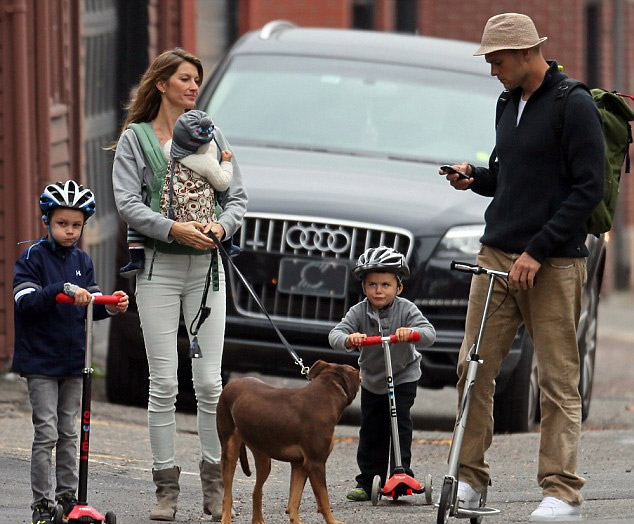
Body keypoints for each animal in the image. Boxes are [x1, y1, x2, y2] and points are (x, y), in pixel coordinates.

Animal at [215, 360, 358, 524]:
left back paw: (258, 520)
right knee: (227, 494)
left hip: (263, 457)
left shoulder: (299, 464)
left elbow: (294, 502)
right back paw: (226, 518)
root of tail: (229, 385)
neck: (327, 393)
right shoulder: (315, 463)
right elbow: (324, 499)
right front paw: (333, 521)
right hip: (230, 451)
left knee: (256, 491)